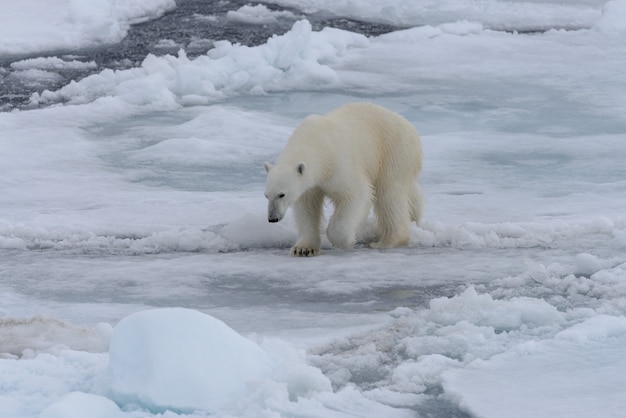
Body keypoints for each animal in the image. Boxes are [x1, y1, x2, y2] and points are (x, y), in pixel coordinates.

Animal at [260, 103, 422, 256]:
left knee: (389, 195)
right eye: (266, 195)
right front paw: (303, 248)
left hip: (393, 151)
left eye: (282, 194)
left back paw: (387, 241)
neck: (315, 142)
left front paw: (346, 240)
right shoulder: (310, 186)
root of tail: (408, 125)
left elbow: (357, 194)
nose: (272, 218)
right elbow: (307, 207)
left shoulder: (338, 164)